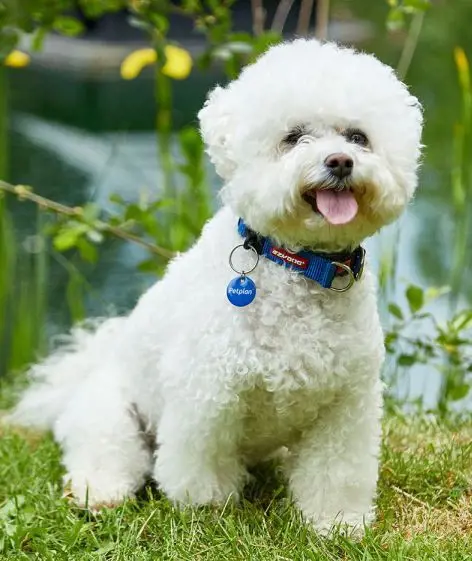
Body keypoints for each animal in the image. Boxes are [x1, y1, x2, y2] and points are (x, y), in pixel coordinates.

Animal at [11, 38, 424, 532]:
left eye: (358, 138)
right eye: (293, 137)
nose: (340, 161)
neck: (299, 265)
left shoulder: (346, 407)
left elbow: (336, 471)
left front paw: (338, 522)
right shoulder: (208, 392)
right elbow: (200, 460)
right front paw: (207, 505)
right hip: (112, 417)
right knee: (104, 452)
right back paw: (100, 491)